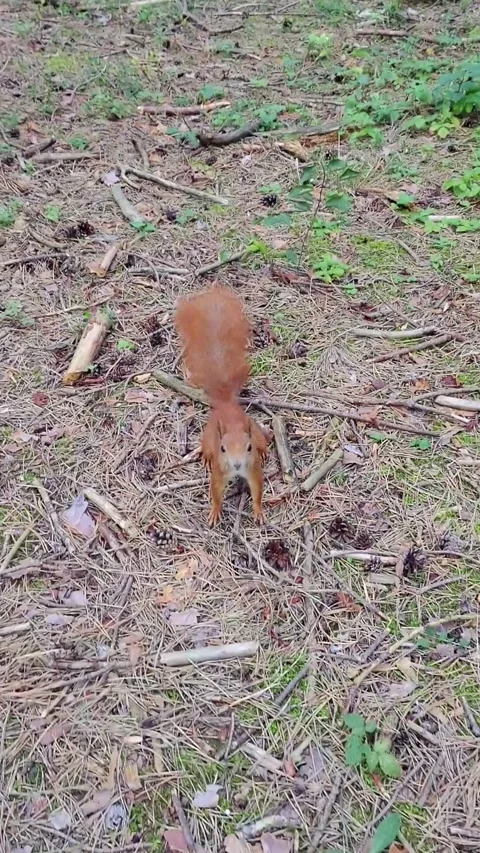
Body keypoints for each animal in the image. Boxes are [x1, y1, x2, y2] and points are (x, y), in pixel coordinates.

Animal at [175, 286, 268, 527]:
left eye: (248, 447)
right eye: (223, 448)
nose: (237, 465)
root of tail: (226, 404)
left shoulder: (253, 468)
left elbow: (257, 489)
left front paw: (258, 511)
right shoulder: (219, 471)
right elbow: (216, 491)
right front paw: (215, 511)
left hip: (257, 429)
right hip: (208, 436)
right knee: (206, 447)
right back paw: (205, 457)